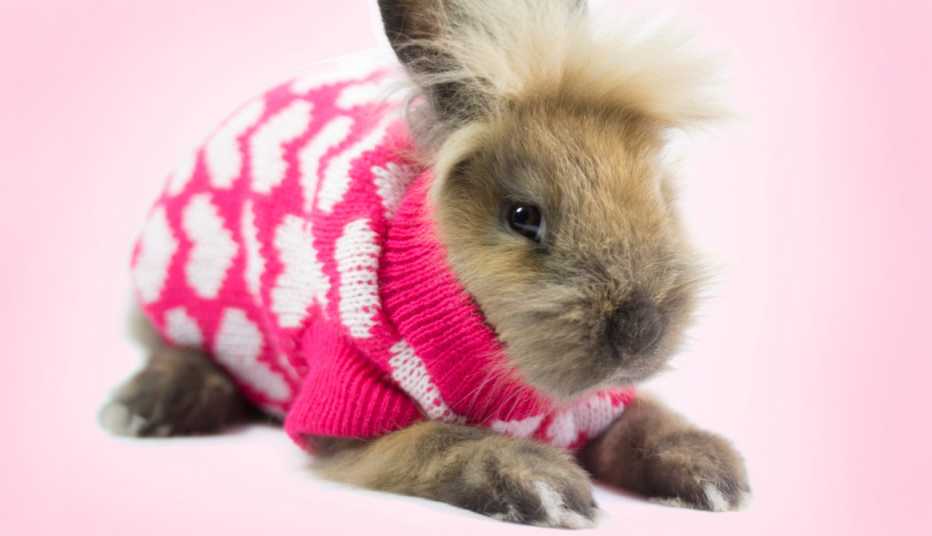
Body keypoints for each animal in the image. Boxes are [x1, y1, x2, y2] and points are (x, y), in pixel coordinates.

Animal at [100, 0, 749, 528]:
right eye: (522, 216)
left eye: (658, 195)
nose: (641, 332)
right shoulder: (344, 416)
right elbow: (438, 445)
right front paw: (544, 485)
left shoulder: (600, 403)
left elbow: (645, 424)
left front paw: (714, 475)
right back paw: (139, 412)